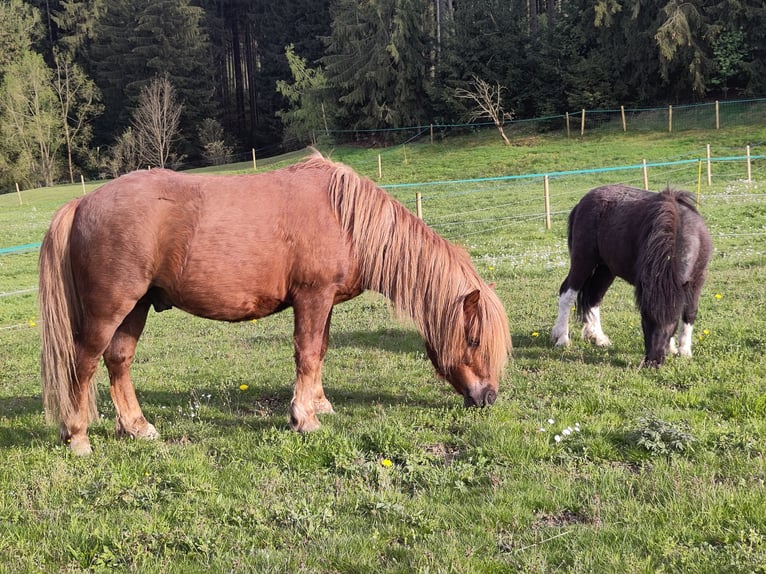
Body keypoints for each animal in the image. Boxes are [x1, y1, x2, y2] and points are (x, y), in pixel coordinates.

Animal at [39, 153, 512, 455]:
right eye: (473, 340)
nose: (488, 397)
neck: (345, 217)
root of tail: (81, 203)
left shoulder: (326, 301)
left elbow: (321, 351)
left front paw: (320, 404)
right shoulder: (313, 296)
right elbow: (307, 354)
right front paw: (304, 418)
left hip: (135, 308)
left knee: (118, 361)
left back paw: (137, 428)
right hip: (110, 309)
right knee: (83, 364)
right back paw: (77, 436)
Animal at [551, 184, 712, 367]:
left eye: (672, 321)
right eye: (644, 318)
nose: (653, 362)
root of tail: (583, 202)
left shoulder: (696, 280)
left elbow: (689, 312)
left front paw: (682, 351)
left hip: (605, 269)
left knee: (594, 298)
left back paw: (599, 338)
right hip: (583, 261)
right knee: (567, 294)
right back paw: (562, 338)